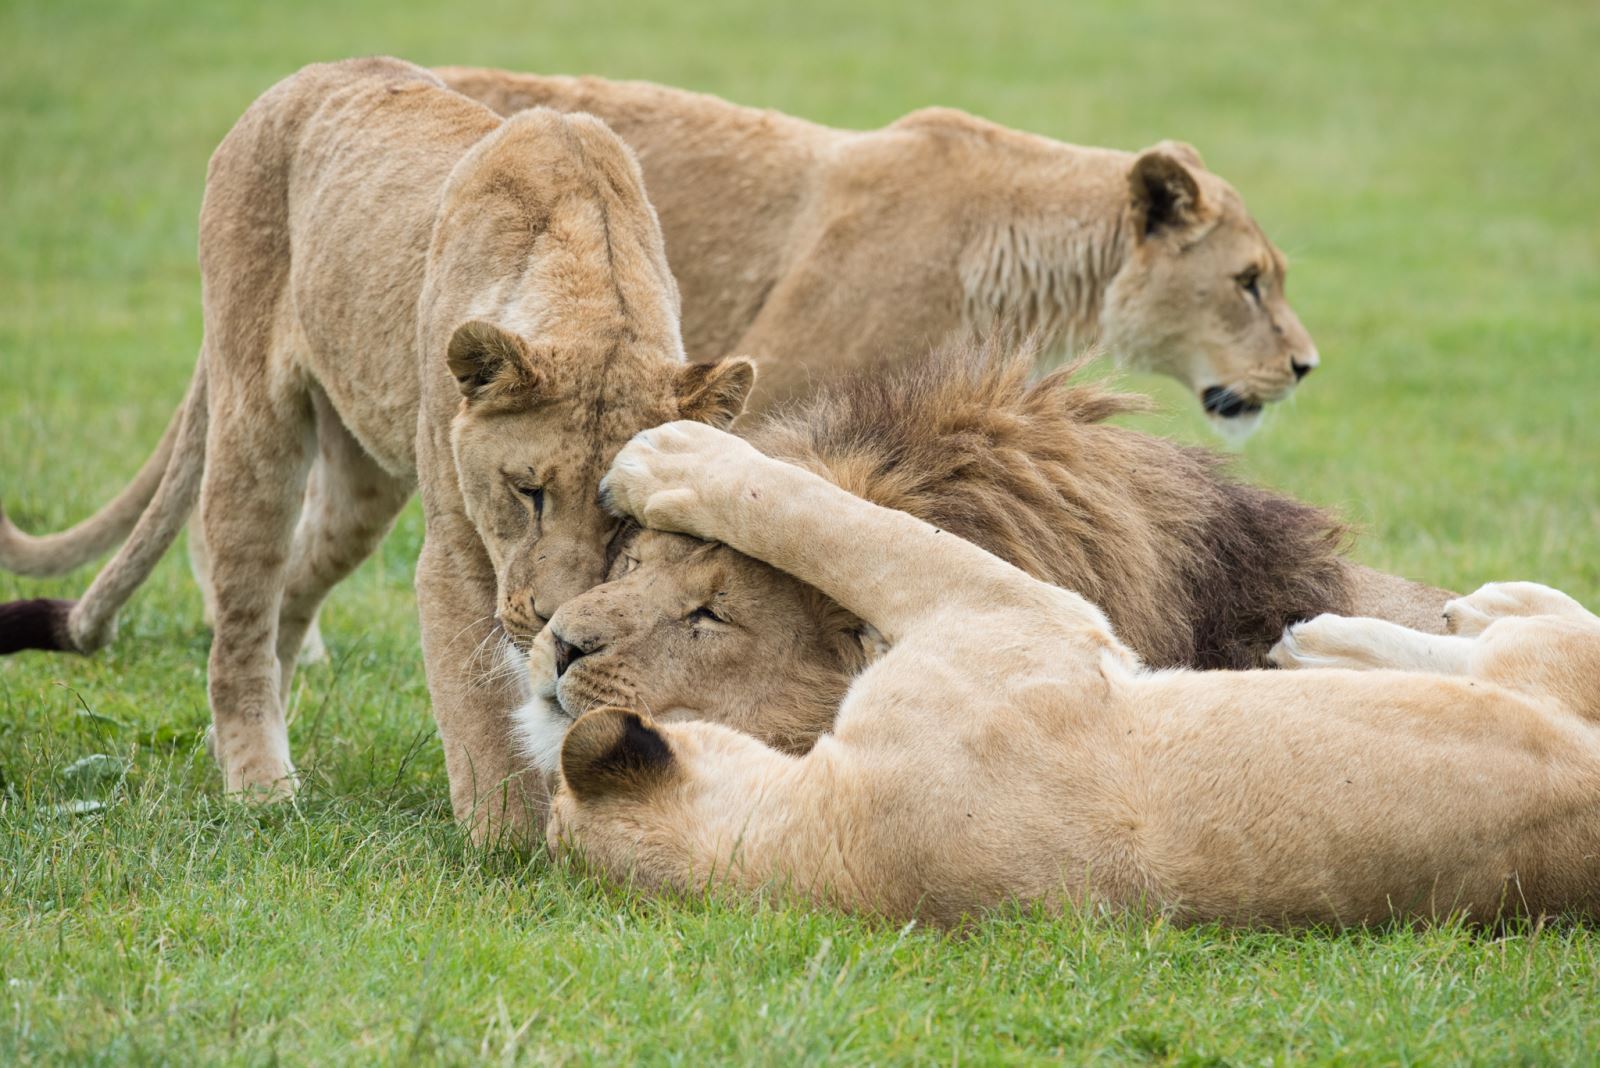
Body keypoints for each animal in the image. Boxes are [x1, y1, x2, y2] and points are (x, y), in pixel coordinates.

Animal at [0, 58, 753, 841]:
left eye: (620, 519)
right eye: (527, 491)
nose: (553, 621)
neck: (592, 299)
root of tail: (302, 77)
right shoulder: (456, 554)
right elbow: (486, 720)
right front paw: (512, 850)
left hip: (361, 488)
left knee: (294, 585)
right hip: (254, 422)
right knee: (241, 617)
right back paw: (260, 785)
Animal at [537, 420, 1600, 928]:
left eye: (707, 615)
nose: (557, 649)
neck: (834, 849)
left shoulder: (1014, 616)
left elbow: (827, 517)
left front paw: (668, 453)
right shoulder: (1027, 624)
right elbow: (837, 524)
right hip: (1539, 683)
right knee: (1535, 646)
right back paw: (1344, 637)